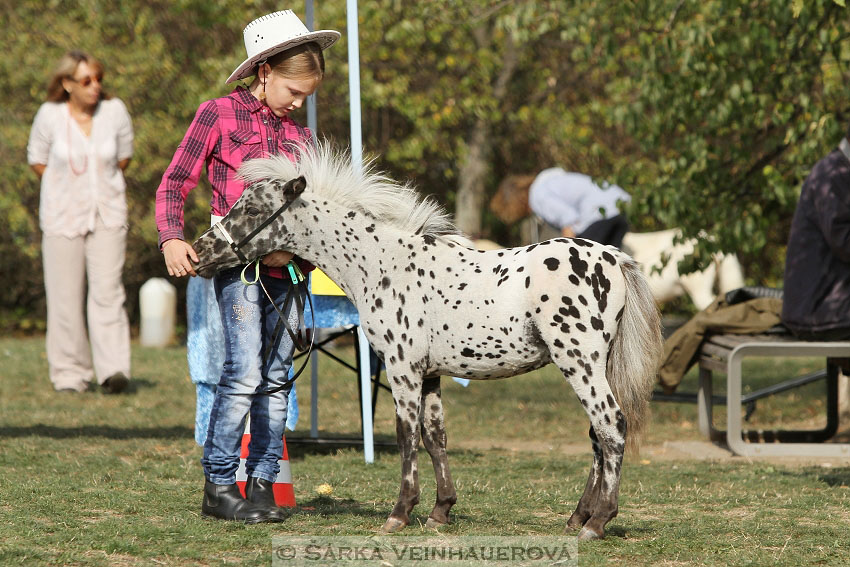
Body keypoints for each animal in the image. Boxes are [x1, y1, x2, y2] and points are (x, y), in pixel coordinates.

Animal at [190, 144, 664, 540]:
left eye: (252, 208)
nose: (199, 254)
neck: (381, 263)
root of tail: (613, 258)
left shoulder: (402, 369)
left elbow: (406, 435)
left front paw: (399, 514)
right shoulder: (431, 374)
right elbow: (435, 437)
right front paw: (440, 511)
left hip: (579, 363)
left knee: (611, 426)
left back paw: (597, 523)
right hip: (591, 366)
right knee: (597, 436)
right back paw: (578, 517)